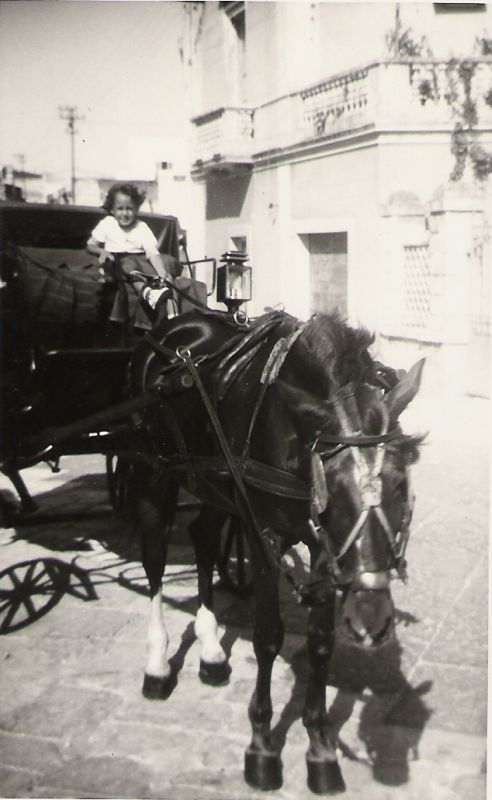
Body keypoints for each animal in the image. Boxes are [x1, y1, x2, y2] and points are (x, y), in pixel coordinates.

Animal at [128, 308, 424, 795]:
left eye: (401, 486)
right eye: (332, 489)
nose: (370, 620)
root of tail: (175, 323)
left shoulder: (323, 547)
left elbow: (321, 644)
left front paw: (321, 751)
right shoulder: (262, 533)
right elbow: (267, 637)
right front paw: (262, 748)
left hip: (216, 483)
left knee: (203, 536)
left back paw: (211, 652)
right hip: (153, 470)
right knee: (154, 553)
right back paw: (156, 666)